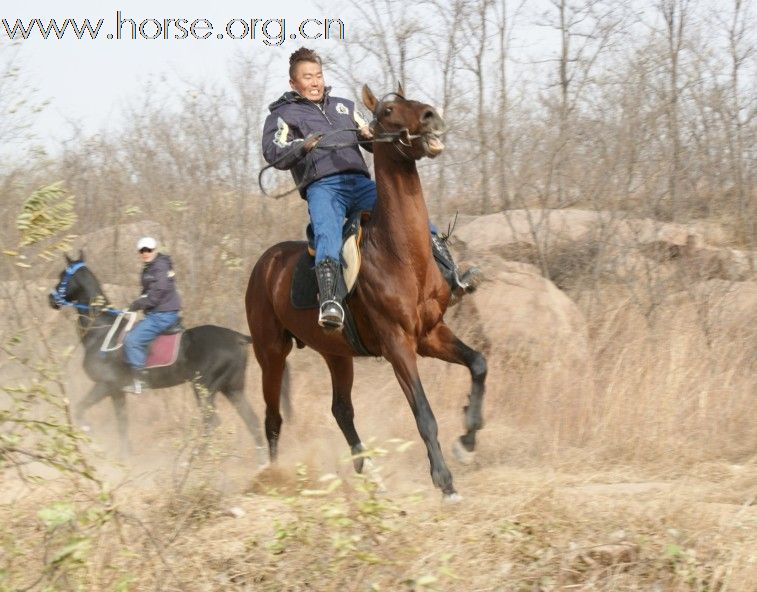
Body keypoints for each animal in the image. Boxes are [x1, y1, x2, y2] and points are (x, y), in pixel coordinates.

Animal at [50, 252, 270, 460]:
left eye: (62, 275)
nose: (51, 299)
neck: (101, 329)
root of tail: (238, 337)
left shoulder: (105, 385)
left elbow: (80, 410)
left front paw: (92, 440)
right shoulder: (117, 391)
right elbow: (122, 423)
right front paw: (125, 456)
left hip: (205, 390)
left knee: (212, 423)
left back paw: (193, 460)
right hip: (232, 389)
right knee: (252, 420)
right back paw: (263, 462)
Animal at [245, 83, 488, 500]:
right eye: (388, 110)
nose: (431, 116)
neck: (401, 255)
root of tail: (265, 264)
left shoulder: (431, 335)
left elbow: (478, 365)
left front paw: (467, 442)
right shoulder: (397, 345)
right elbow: (424, 414)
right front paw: (445, 482)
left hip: (336, 353)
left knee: (341, 410)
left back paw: (368, 472)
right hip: (271, 352)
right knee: (273, 416)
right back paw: (274, 478)